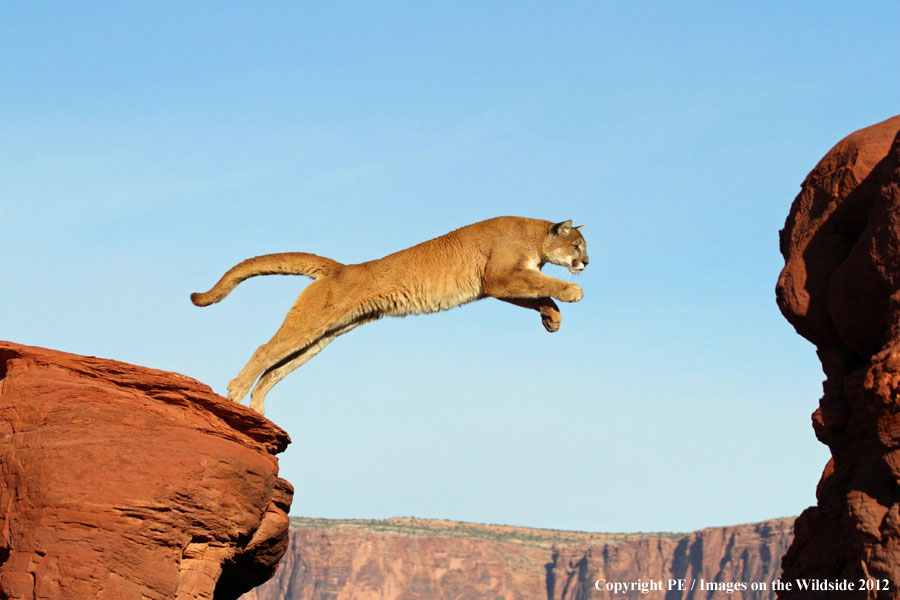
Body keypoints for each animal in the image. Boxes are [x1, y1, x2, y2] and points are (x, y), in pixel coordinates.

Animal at [188, 218, 592, 414]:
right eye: (577, 246)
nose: (586, 263)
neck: (534, 236)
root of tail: (342, 268)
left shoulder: (499, 283)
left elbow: (538, 292)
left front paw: (552, 318)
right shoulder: (499, 276)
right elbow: (544, 283)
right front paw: (573, 293)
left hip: (322, 336)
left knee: (275, 368)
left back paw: (260, 409)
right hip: (311, 325)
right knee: (264, 351)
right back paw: (236, 393)